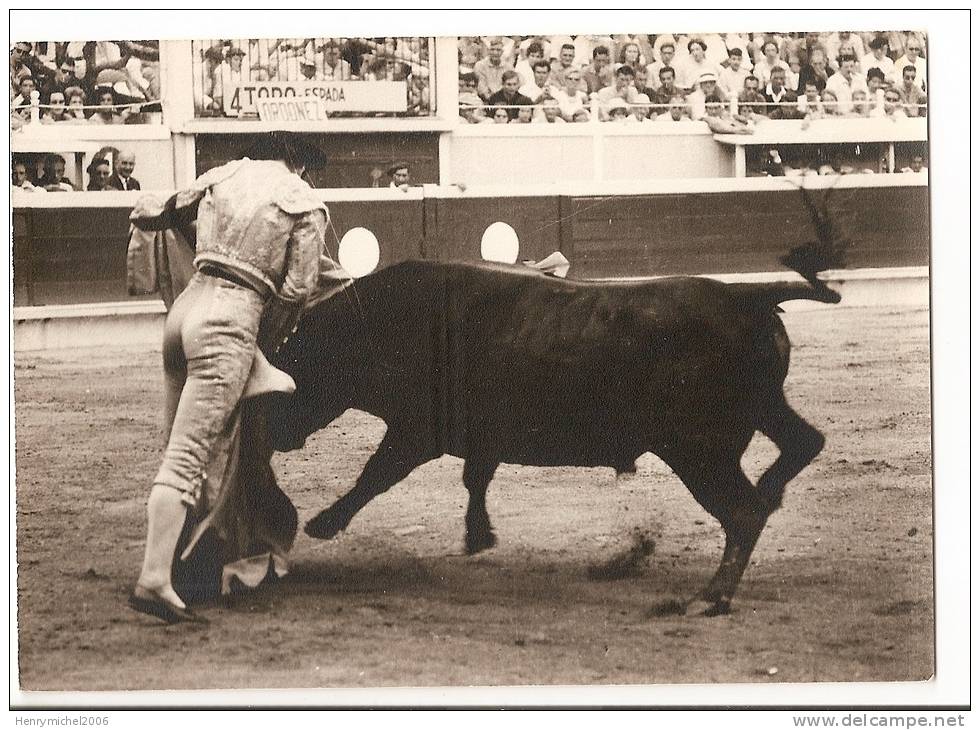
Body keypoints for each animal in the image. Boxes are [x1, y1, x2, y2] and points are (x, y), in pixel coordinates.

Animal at [266, 193, 844, 616]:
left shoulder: (417, 431)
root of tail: (748, 296)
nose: (274, 435)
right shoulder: (480, 431)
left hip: (699, 448)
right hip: (759, 411)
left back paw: (712, 596)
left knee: (743, 511)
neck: (375, 324)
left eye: (293, 371)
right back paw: (770, 494)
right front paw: (479, 536)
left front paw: (324, 523)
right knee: (803, 444)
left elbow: (376, 473)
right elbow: (475, 476)